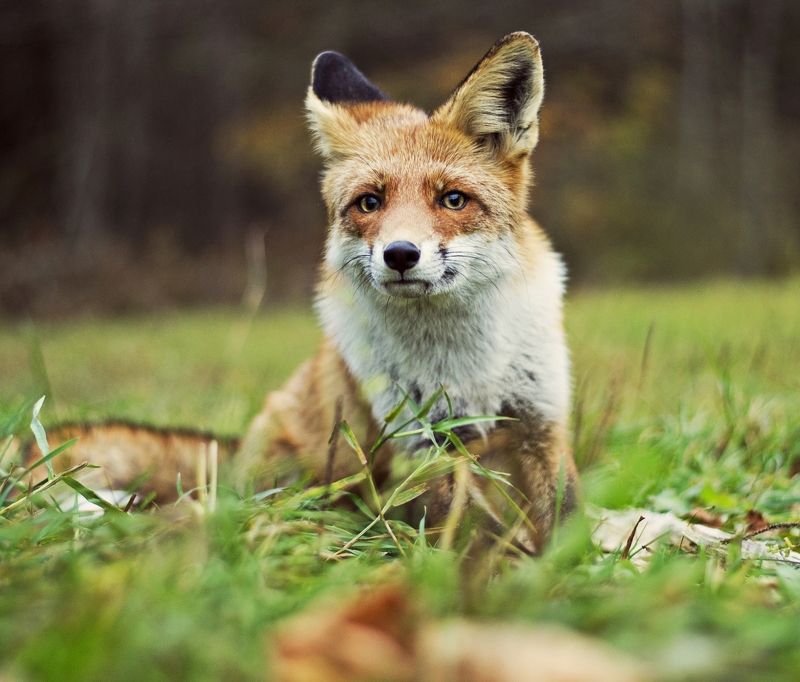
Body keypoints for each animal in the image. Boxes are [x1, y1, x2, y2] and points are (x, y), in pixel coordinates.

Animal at [24, 32, 577, 549]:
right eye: (369, 203)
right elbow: (474, 532)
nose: (400, 254)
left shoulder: (541, 419)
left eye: (454, 200)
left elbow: (564, 515)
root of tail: (239, 453)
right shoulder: (425, 440)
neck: (468, 363)